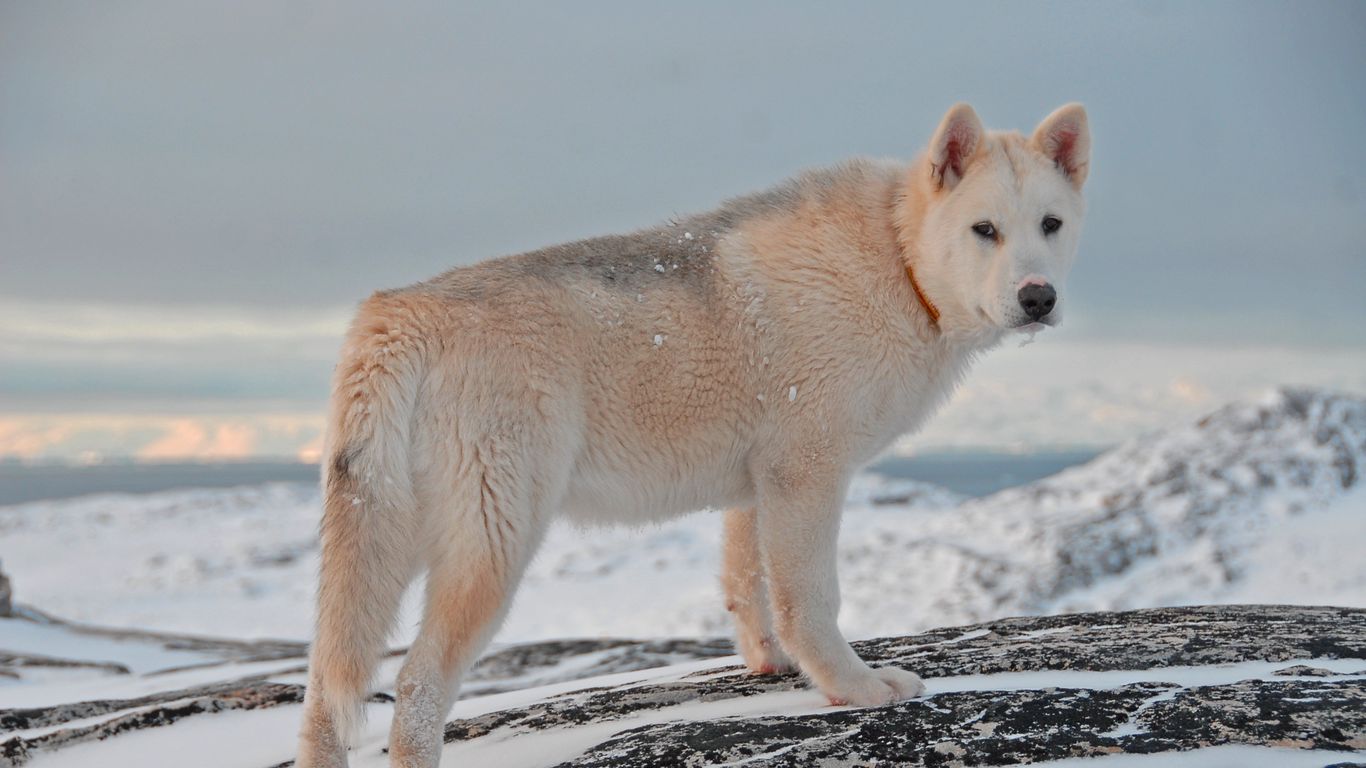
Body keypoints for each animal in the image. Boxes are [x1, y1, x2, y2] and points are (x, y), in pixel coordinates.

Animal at [296, 103, 1087, 765]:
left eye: (1051, 225)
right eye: (985, 229)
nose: (1039, 298)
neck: (895, 264)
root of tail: (396, 315)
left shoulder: (758, 487)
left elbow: (750, 589)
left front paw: (771, 666)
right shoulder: (809, 474)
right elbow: (812, 602)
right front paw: (853, 689)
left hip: (383, 551)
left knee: (325, 699)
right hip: (492, 547)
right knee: (417, 686)